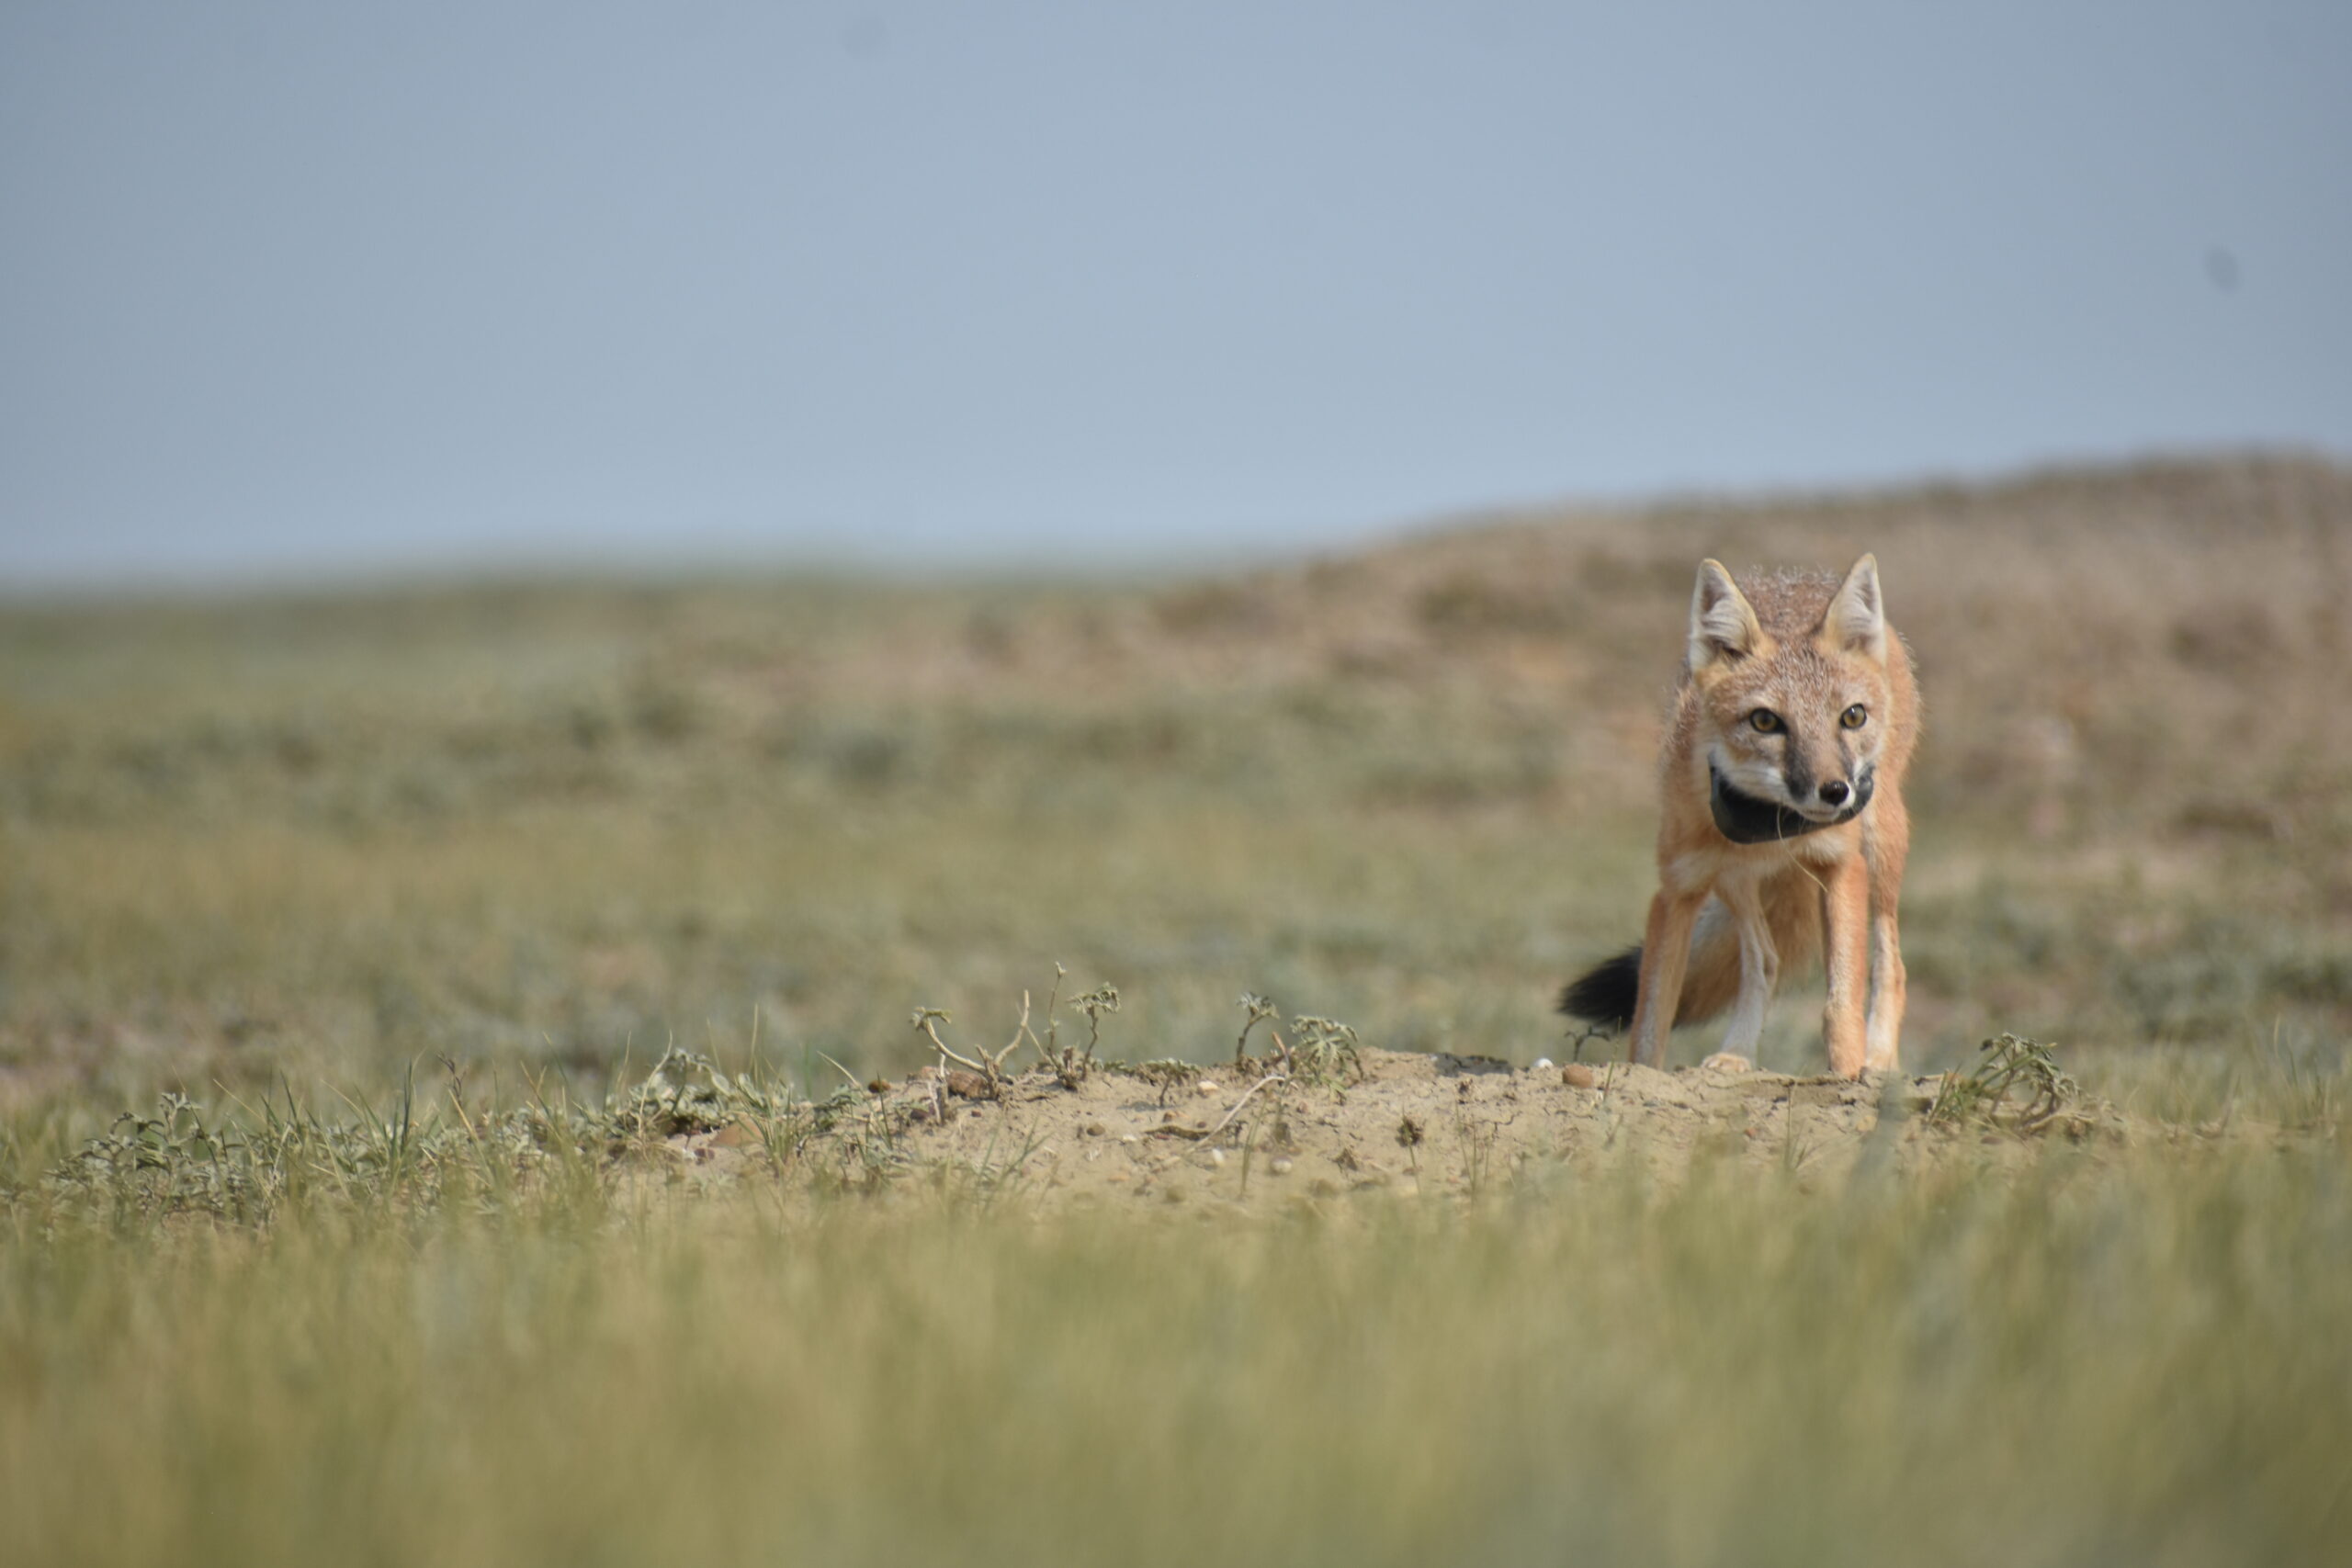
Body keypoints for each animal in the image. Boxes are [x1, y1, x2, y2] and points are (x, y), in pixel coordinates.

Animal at [1560, 554, 1919, 1079]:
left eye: (1852, 717)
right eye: (1765, 721)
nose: (1835, 792)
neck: (1775, 830)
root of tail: (1798, 577)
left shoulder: (1840, 865)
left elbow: (1840, 1006)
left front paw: (1846, 1073)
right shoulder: (1677, 889)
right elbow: (1651, 1020)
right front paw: (1640, 1077)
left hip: (1880, 849)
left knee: (1891, 964)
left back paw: (1878, 1062)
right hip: (1735, 885)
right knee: (1765, 961)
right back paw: (1738, 1054)